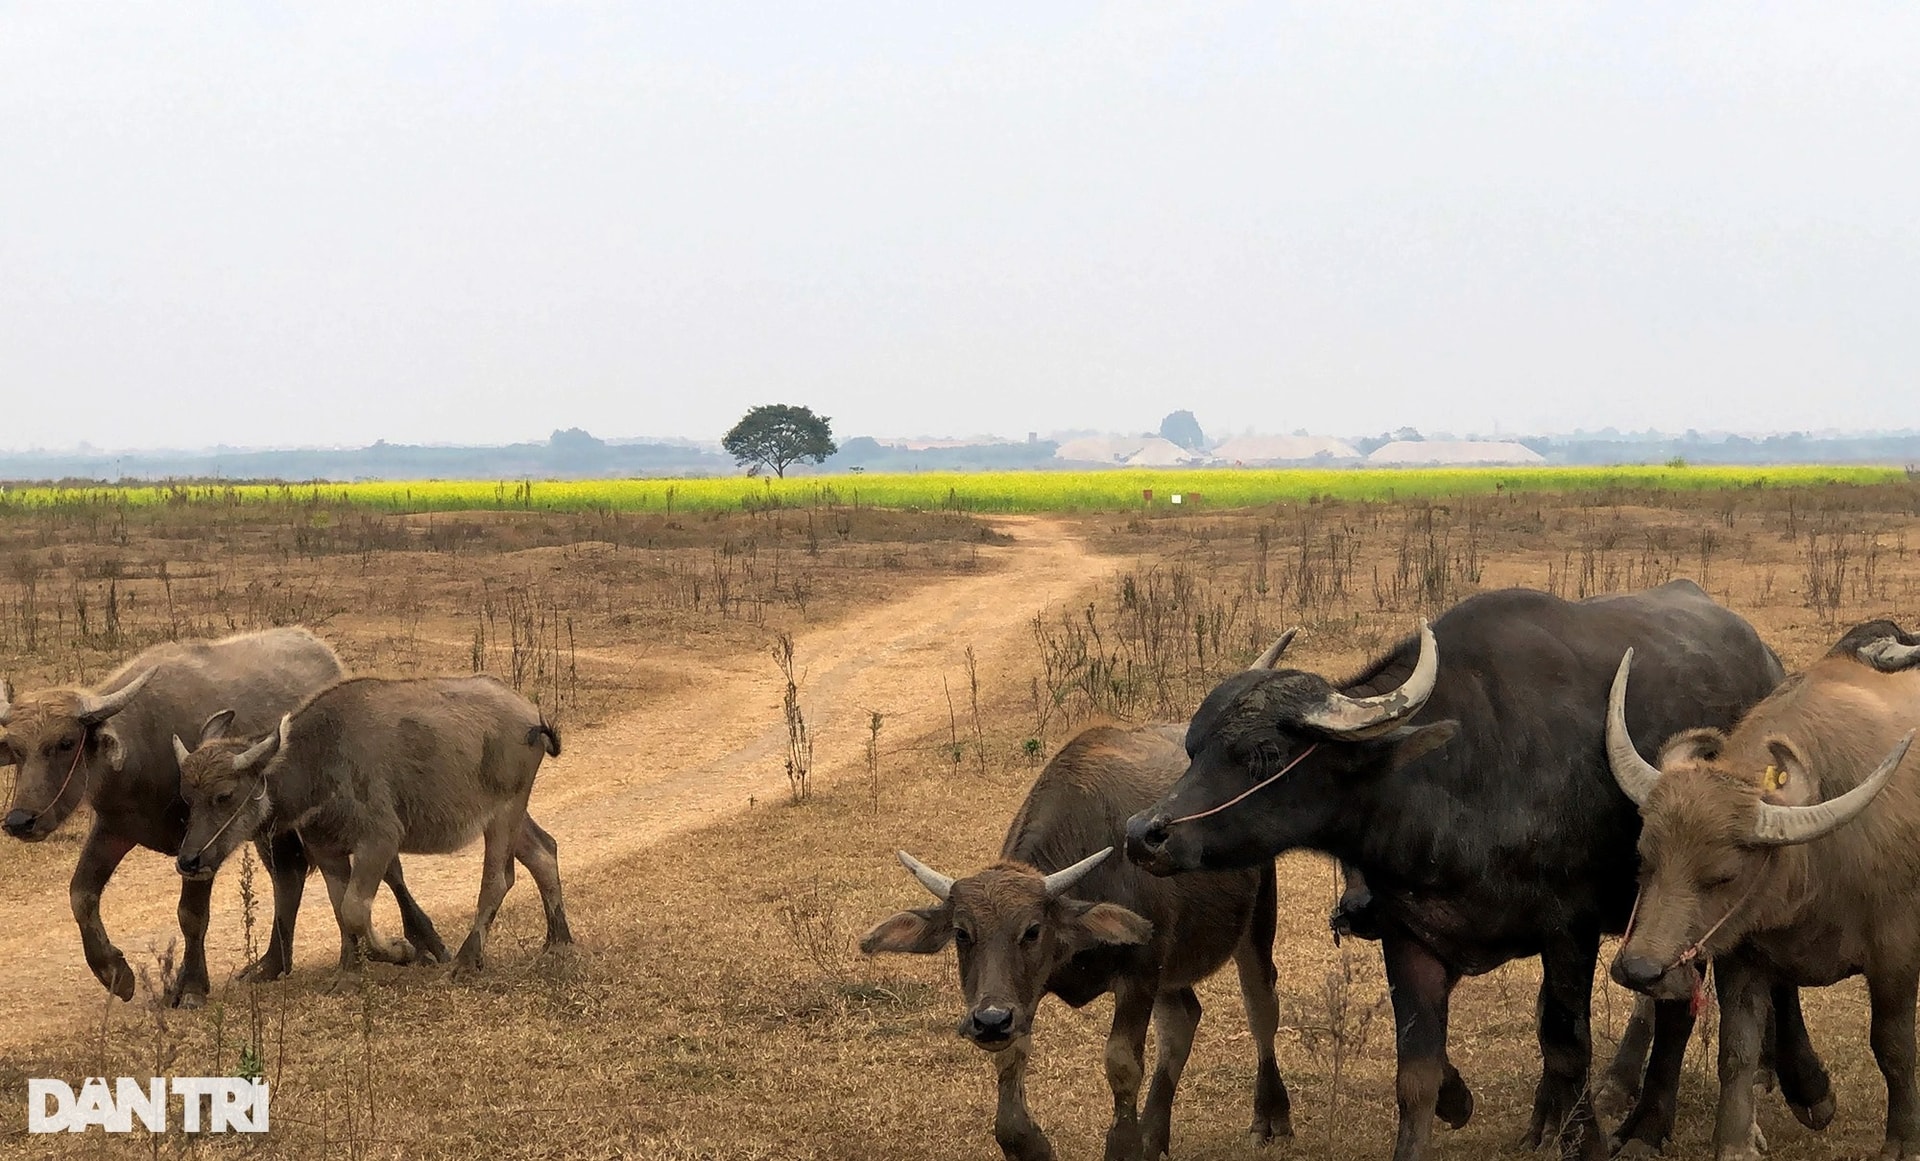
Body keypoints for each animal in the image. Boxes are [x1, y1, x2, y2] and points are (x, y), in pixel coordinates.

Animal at [867, 725, 1290, 1159]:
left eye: (1032, 930)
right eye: (962, 933)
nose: (990, 1021)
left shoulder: (1140, 974)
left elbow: (1122, 1063)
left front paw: (1125, 1144)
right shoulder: (1026, 993)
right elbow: (1012, 1070)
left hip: (1256, 921)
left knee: (1261, 1008)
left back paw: (1270, 1117)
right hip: (1172, 972)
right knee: (1182, 1020)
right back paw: (1153, 1135)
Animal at [1121, 587, 1827, 1159]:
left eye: (1264, 753)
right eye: (1193, 746)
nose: (1143, 834)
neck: (1459, 771)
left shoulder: (1568, 931)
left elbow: (1566, 1044)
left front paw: (1588, 1142)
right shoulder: (1412, 937)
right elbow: (1418, 1074)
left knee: (1709, 995)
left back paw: (1691, 1115)